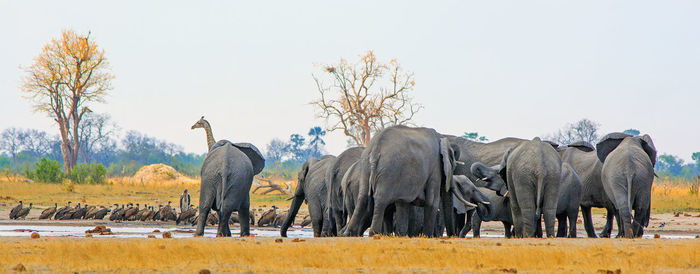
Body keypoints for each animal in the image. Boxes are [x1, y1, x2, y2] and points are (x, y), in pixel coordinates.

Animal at [342, 125, 484, 237]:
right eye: (453, 166)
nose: (452, 236)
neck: (442, 138)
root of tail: (376, 148)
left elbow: (402, 203)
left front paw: (401, 235)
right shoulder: (435, 167)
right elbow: (432, 201)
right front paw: (427, 237)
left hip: (365, 167)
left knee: (363, 198)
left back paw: (349, 234)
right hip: (389, 170)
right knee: (381, 199)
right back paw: (374, 234)